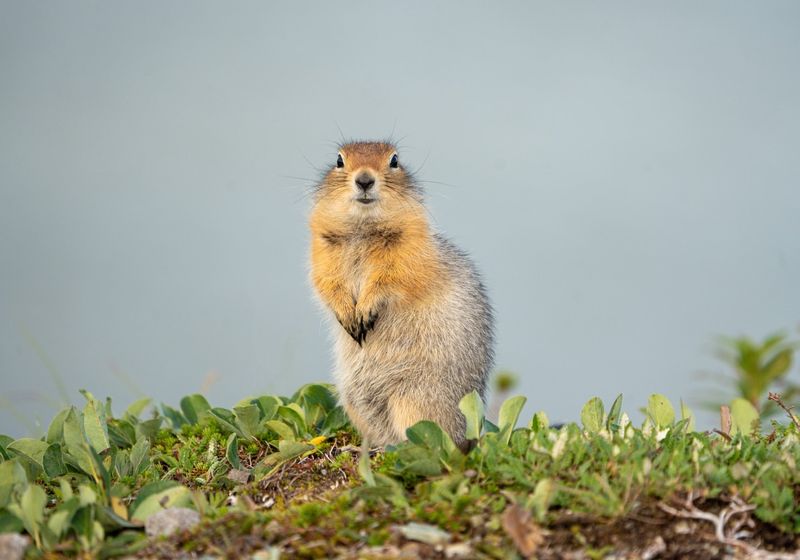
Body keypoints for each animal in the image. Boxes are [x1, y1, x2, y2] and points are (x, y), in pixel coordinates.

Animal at [310, 141, 494, 450]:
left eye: (394, 160)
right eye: (339, 160)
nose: (364, 179)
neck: (363, 229)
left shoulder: (409, 249)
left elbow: (393, 278)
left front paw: (366, 310)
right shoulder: (322, 251)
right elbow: (326, 281)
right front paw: (348, 315)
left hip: (414, 399)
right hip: (354, 400)